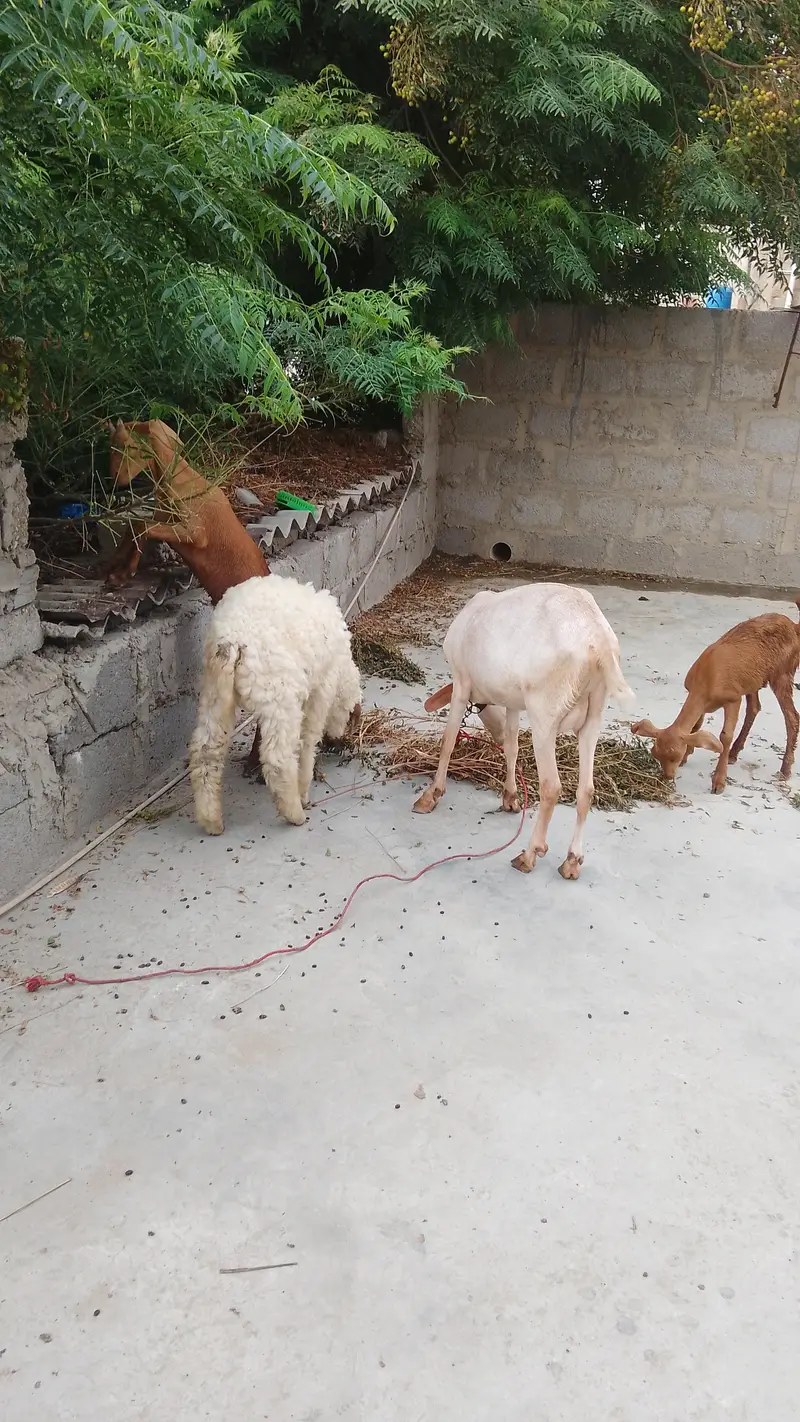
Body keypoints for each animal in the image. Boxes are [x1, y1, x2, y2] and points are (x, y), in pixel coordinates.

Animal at [189, 576, 361, 835]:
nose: (339, 742)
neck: (342, 665)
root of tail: (233, 638)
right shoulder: (321, 689)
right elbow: (308, 742)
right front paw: (304, 790)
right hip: (280, 696)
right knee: (277, 758)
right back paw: (294, 812)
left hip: (215, 692)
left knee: (206, 750)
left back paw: (211, 820)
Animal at [414, 583, 632, 880]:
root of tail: (598, 640)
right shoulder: (512, 701)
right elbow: (512, 746)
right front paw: (510, 798)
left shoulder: (461, 681)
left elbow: (448, 741)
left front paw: (431, 795)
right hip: (594, 715)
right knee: (586, 789)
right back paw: (572, 861)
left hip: (544, 714)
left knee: (551, 786)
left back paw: (529, 855)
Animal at [632, 602, 800, 793]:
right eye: (655, 754)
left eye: (674, 756)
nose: (667, 777)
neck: (706, 680)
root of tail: (794, 626)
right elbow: (696, 726)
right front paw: (688, 756)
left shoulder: (733, 698)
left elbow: (725, 736)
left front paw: (719, 782)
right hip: (752, 680)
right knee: (754, 707)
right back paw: (734, 753)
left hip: (783, 672)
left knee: (792, 717)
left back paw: (785, 769)